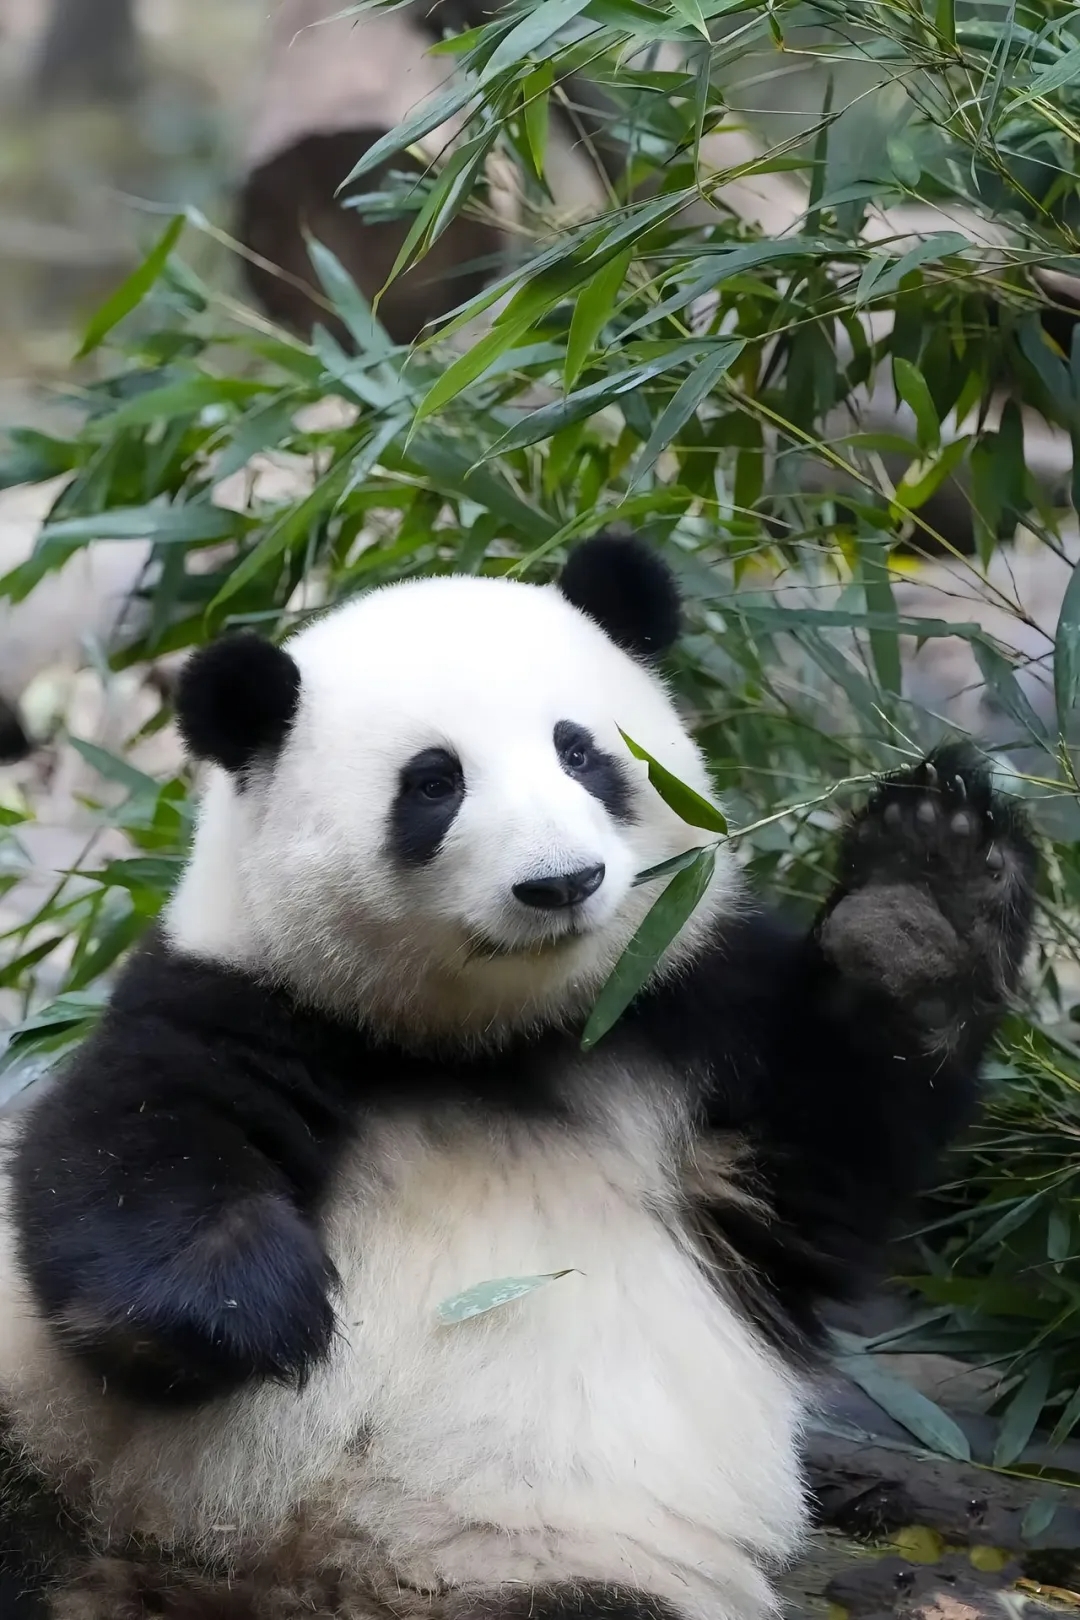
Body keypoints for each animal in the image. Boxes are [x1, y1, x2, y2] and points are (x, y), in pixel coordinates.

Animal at [0, 534, 1036, 1619]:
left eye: (580, 752)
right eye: (433, 783)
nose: (561, 883)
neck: (492, 1039)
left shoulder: (691, 1022)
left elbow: (828, 1155)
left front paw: (925, 895)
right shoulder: (248, 1001)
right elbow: (125, 1143)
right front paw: (249, 1307)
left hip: (552, 1569)